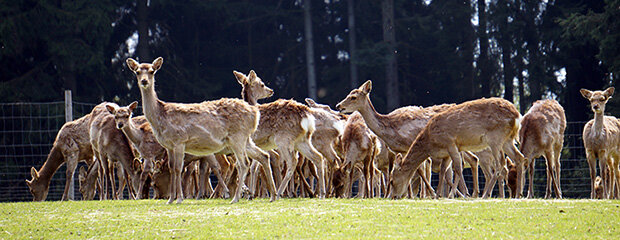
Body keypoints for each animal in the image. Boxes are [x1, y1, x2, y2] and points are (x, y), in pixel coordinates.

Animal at [127, 57, 274, 202]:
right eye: (137, 72)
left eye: (152, 71)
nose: (144, 81)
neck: (160, 117)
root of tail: (255, 113)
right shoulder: (168, 146)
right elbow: (172, 168)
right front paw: (171, 199)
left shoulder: (180, 141)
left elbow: (178, 169)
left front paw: (179, 198)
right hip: (246, 139)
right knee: (263, 156)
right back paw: (272, 196)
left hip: (238, 137)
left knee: (243, 164)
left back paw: (236, 198)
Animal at [232, 70, 326, 198]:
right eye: (262, 84)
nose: (271, 90)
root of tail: (307, 114)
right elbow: (252, 166)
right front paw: (248, 192)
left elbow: (245, 165)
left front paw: (246, 191)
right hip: (302, 140)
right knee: (318, 157)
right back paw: (322, 193)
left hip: (283, 139)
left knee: (292, 161)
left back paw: (279, 192)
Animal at [388, 97, 524, 199]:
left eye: (392, 180)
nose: (393, 196)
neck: (430, 141)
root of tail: (517, 115)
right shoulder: (446, 152)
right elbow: (444, 170)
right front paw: (438, 194)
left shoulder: (450, 143)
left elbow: (458, 167)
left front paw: (459, 194)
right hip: (507, 140)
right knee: (519, 157)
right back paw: (518, 194)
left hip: (495, 138)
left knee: (500, 163)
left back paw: (486, 194)